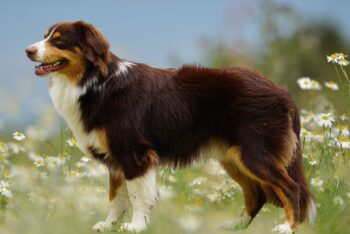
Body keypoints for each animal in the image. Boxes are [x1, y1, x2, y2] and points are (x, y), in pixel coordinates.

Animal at [26, 21, 316, 233]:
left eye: (58, 40)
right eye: (45, 36)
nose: (28, 50)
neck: (95, 82)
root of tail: (283, 92)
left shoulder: (133, 153)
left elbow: (137, 195)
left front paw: (136, 226)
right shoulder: (115, 159)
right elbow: (116, 197)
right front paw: (108, 225)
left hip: (255, 154)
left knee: (292, 189)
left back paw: (286, 227)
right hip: (233, 157)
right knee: (256, 195)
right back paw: (234, 225)